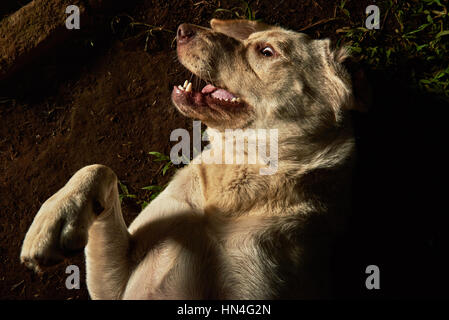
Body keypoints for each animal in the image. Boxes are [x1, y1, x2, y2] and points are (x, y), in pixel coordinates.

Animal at [20, 19, 356, 300]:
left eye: (267, 51)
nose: (182, 30)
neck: (236, 172)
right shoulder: (114, 287)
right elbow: (100, 168)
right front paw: (53, 221)